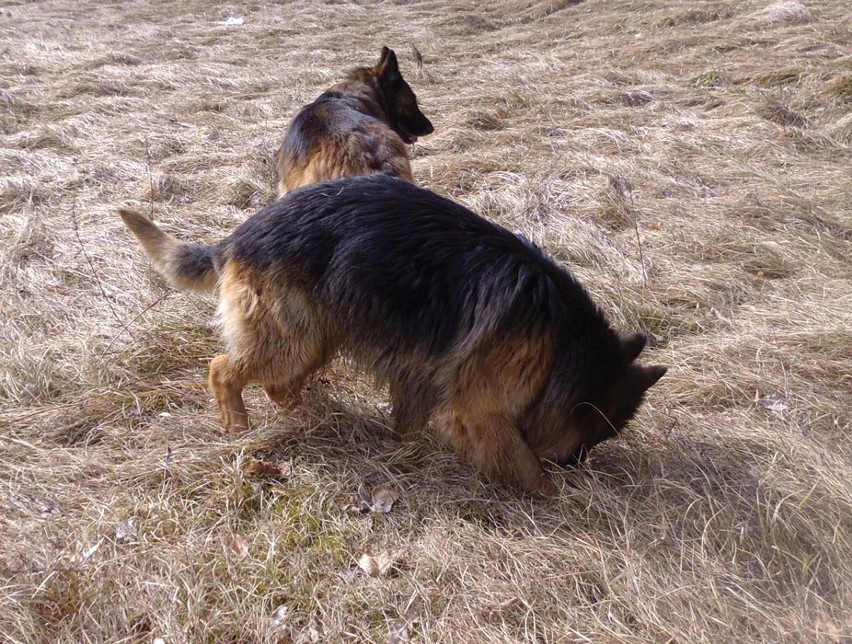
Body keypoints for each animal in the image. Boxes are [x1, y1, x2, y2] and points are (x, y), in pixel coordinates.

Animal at [118, 174, 664, 496]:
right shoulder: (480, 408)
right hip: (291, 338)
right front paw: (552, 495)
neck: (562, 343)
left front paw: (403, 450)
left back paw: (308, 412)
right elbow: (519, 459)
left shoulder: (422, 379)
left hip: (318, 335)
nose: (576, 469)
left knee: (277, 383)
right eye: (591, 438)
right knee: (222, 369)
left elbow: (410, 418)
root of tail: (236, 237)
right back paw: (237, 426)